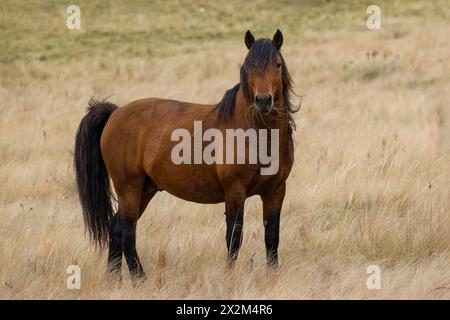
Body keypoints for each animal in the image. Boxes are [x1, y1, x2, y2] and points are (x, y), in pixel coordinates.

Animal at [75, 28, 298, 282]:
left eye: (278, 64)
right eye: (249, 66)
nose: (263, 101)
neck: (256, 134)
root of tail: (116, 113)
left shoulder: (276, 191)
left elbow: (272, 236)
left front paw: (273, 275)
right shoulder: (234, 191)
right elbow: (234, 237)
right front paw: (229, 276)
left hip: (145, 189)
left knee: (116, 226)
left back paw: (114, 278)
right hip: (129, 187)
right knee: (126, 230)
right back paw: (140, 279)